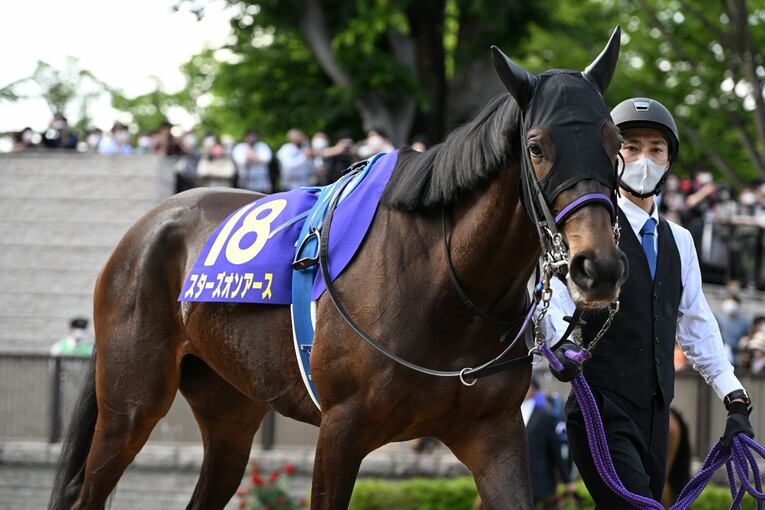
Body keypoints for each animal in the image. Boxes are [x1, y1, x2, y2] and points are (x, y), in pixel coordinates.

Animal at [50, 28, 628, 510]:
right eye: (537, 146)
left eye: (615, 144)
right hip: (130, 404)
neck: (449, 289)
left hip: (229, 407)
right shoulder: (340, 429)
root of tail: (145, 228)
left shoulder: (495, 433)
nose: (596, 267)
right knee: (90, 488)